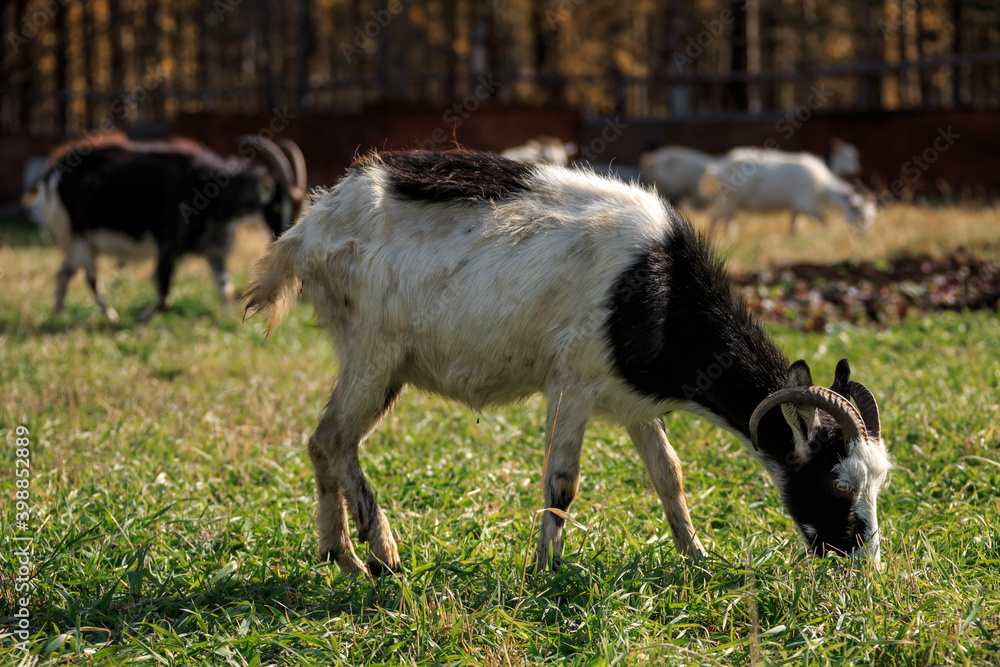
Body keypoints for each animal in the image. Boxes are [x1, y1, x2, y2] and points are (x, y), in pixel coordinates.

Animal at [23, 133, 306, 322]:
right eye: (277, 207)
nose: (286, 239)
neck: (212, 191)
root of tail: (51, 172)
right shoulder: (168, 246)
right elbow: (165, 297)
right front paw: (142, 318)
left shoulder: (214, 250)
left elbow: (225, 289)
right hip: (77, 235)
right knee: (90, 277)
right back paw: (111, 315)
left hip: (77, 241)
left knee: (64, 272)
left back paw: (57, 314)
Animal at [699, 148, 876, 235]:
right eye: (863, 217)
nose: (864, 235)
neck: (823, 187)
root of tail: (717, 169)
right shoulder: (806, 204)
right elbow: (824, 219)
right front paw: (827, 234)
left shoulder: (796, 208)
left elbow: (794, 226)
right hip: (728, 201)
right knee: (719, 220)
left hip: (727, 203)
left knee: (721, 220)